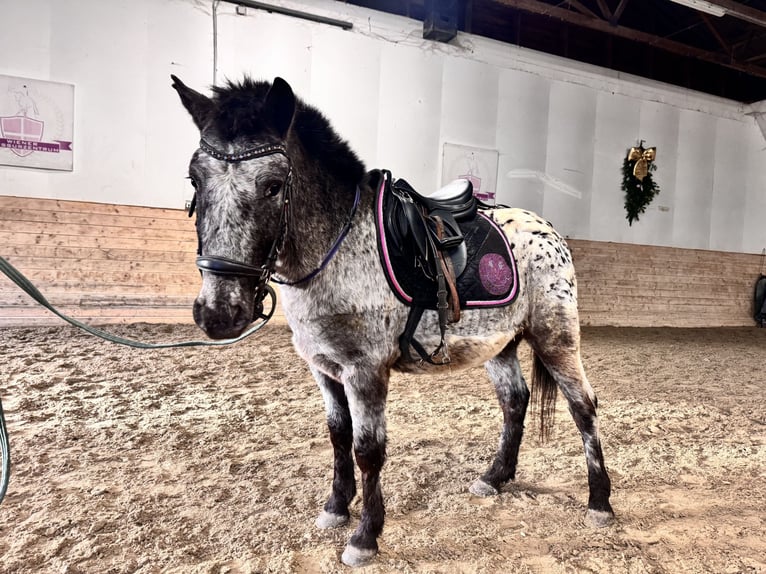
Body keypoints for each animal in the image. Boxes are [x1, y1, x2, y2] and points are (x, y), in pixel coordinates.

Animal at [171, 74, 616, 568]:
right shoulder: (325, 369)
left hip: (556, 337)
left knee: (583, 406)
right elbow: (338, 436)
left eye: (271, 185)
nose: (218, 313)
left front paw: (365, 536)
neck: (339, 248)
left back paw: (600, 502)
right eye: (195, 179)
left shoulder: (365, 371)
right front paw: (335, 508)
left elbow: (368, 450)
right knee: (515, 401)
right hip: (498, 345)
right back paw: (494, 478)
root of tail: (548, 230)